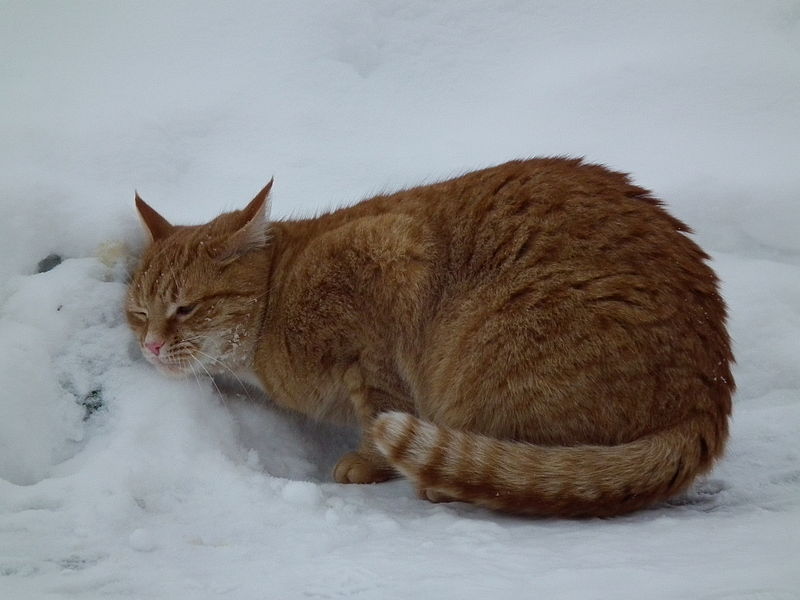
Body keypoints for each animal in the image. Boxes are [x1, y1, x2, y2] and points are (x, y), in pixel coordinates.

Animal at [128, 158, 736, 516]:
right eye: (137, 313)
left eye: (185, 308)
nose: (151, 345)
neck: (282, 292)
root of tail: (708, 399)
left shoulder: (391, 261)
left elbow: (379, 405)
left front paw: (369, 461)